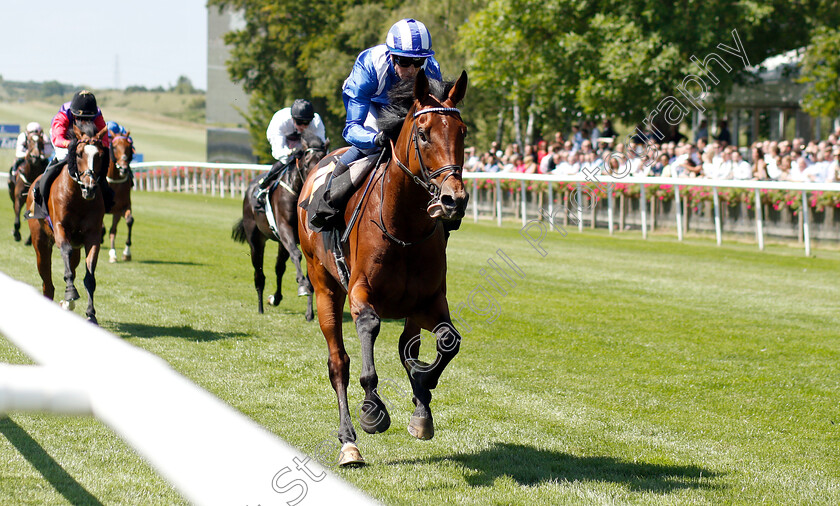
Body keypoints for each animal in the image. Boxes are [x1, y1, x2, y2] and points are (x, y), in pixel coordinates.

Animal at [27, 120, 108, 322]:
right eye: (79, 154)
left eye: (100, 155)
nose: (89, 187)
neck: (79, 199)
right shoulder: (60, 228)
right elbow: (65, 250)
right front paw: (70, 292)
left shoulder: (92, 235)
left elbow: (89, 273)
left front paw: (91, 314)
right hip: (40, 242)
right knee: (47, 280)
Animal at [235, 130, 330, 320]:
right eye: (307, 164)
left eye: (324, 162)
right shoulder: (285, 228)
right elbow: (296, 255)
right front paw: (302, 285)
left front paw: (310, 312)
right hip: (256, 240)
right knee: (259, 273)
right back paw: (261, 306)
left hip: (280, 243)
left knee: (279, 268)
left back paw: (276, 298)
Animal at [296, 71, 470, 466]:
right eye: (423, 133)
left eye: (463, 132)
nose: (454, 199)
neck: (403, 227)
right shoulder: (361, 291)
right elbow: (368, 326)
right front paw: (373, 409)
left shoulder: (429, 299)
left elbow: (447, 341)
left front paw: (423, 392)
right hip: (324, 285)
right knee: (338, 362)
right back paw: (349, 442)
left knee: (409, 345)